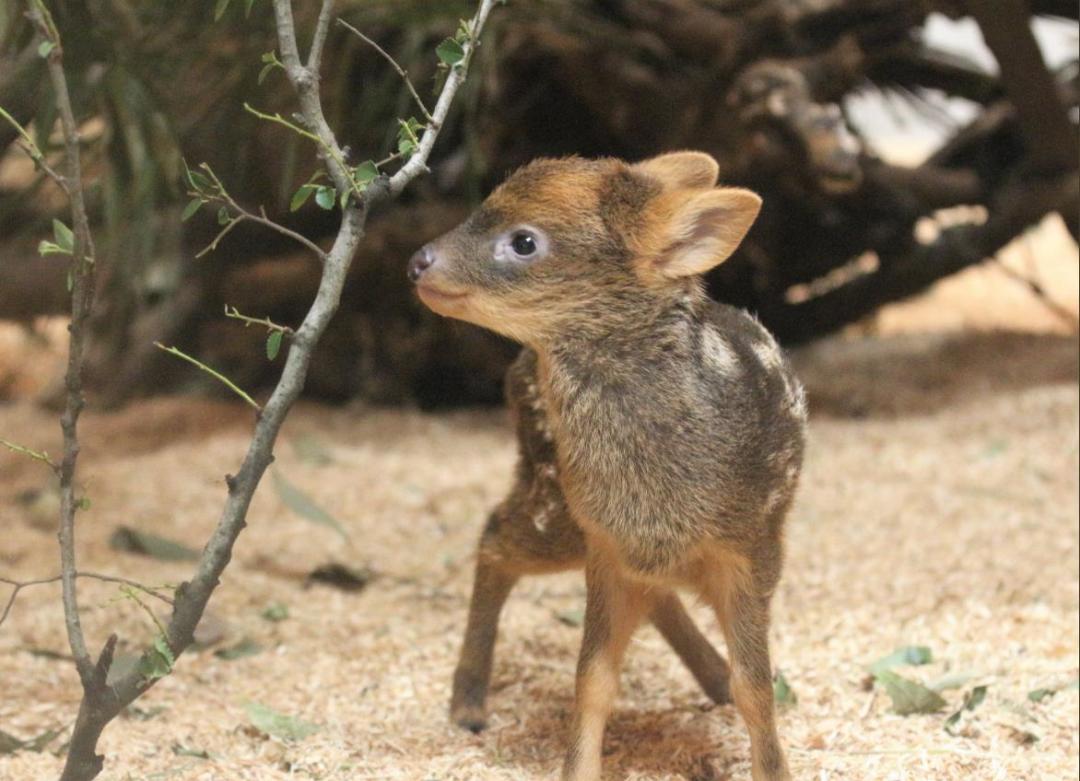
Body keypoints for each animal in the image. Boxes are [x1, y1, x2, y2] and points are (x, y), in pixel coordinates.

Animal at [408, 152, 807, 781]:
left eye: (524, 241)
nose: (418, 262)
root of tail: (516, 369)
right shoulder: (605, 548)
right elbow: (592, 683)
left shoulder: (752, 547)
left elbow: (756, 688)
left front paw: (770, 762)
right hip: (555, 504)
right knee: (494, 537)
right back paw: (468, 703)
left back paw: (714, 678)